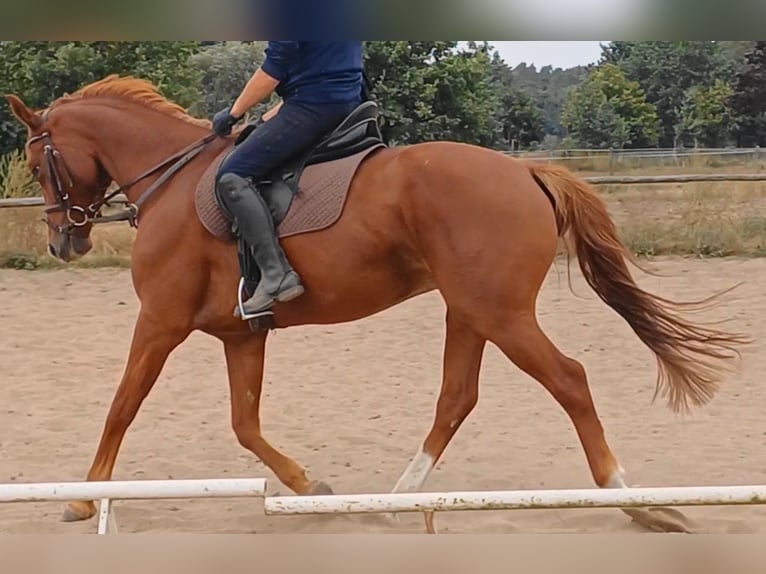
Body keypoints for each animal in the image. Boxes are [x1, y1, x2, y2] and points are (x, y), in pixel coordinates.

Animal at [5, 75, 750, 533]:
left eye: (40, 164)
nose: (63, 241)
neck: (173, 181)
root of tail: (524, 171)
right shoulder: (242, 334)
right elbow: (244, 424)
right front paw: (310, 488)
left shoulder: (160, 322)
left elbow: (121, 406)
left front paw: (83, 501)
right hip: (470, 311)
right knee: (456, 398)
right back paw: (392, 500)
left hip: (501, 314)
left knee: (568, 380)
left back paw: (638, 503)